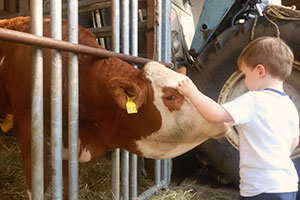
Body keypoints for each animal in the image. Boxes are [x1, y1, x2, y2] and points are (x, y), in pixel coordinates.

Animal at [0, 16, 227, 198]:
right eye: (171, 96)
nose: (223, 114)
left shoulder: (67, 143)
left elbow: (66, 182)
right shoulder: (28, 131)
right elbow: (40, 183)